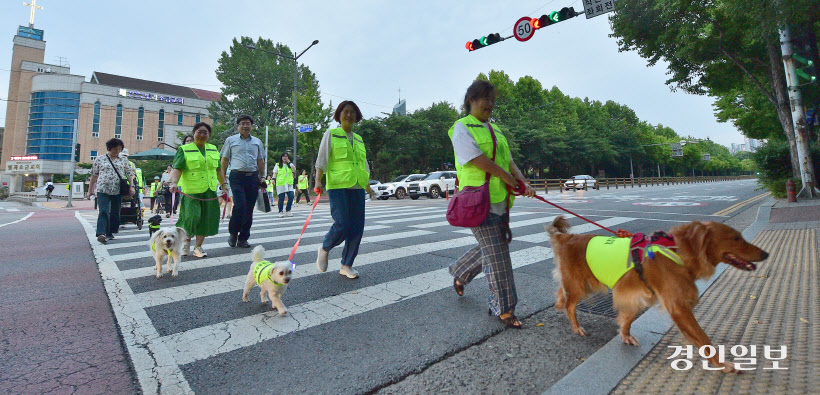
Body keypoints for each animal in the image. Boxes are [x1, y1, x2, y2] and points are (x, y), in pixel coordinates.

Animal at [544, 215, 768, 372]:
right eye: (736, 238)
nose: (766, 254)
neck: (678, 252)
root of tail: (567, 237)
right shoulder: (678, 306)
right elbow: (703, 338)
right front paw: (721, 364)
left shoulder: (640, 297)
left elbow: (627, 319)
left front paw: (625, 335)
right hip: (581, 284)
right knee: (570, 305)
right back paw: (576, 326)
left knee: (562, 292)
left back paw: (558, 302)